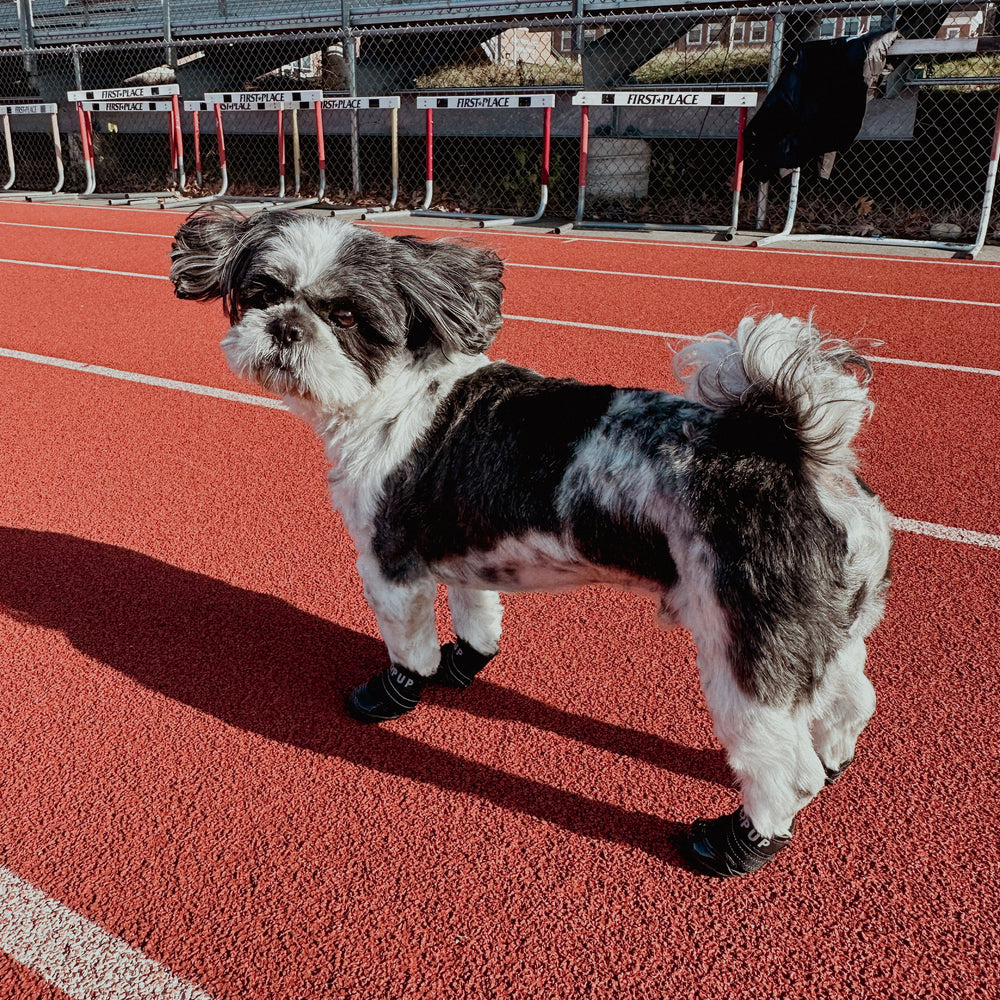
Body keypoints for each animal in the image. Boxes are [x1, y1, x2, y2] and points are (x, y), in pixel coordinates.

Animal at [170, 207, 892, 880]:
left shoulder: (391, 566)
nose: (285, 327)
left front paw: (393, 694)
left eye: (345, 315)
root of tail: (800, 455)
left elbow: (408, 651)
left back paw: (737, 842)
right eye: (263, 293)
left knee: (782, 767)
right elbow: (477, 618)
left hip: (748, 644)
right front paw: (466, 663)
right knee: (852, 702)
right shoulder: (465, 550)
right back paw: (835, 761)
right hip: (825, 631)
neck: (394, 398)